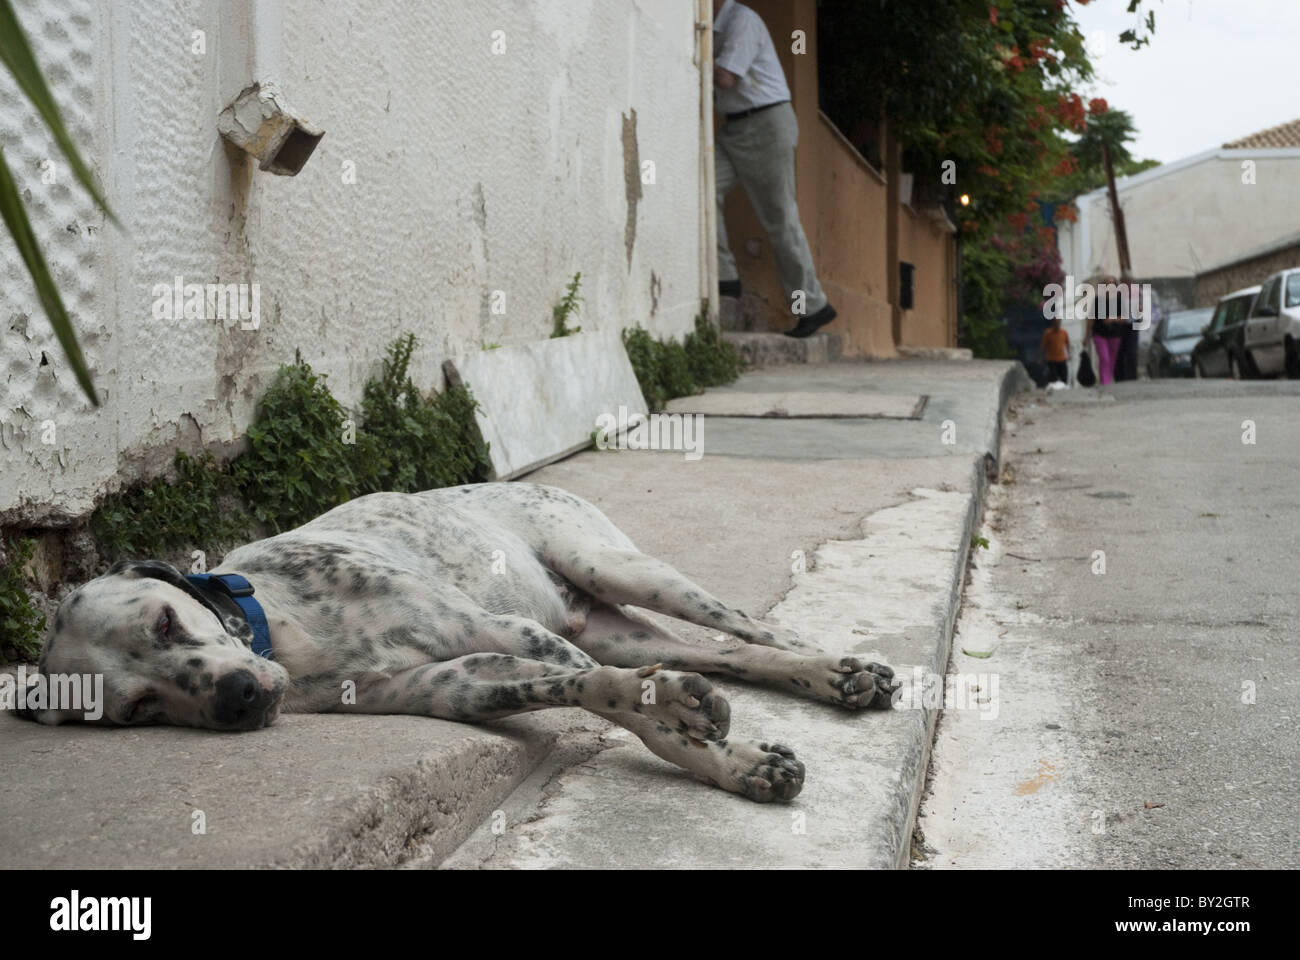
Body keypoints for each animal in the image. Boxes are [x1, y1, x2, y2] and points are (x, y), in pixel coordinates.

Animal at [25, 478, 899, 801]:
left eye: (166, 621)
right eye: (137, 711)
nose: (239, 699)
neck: (285, 628)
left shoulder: (495, 629)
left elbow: (644, 716)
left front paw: (723, 755)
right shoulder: (464, 679)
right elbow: (603, 690)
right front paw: (736, 761)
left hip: (616, 565)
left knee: (756, 627)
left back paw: (842, 666)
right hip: (609, 625)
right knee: (726, 652)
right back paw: (833, 680)